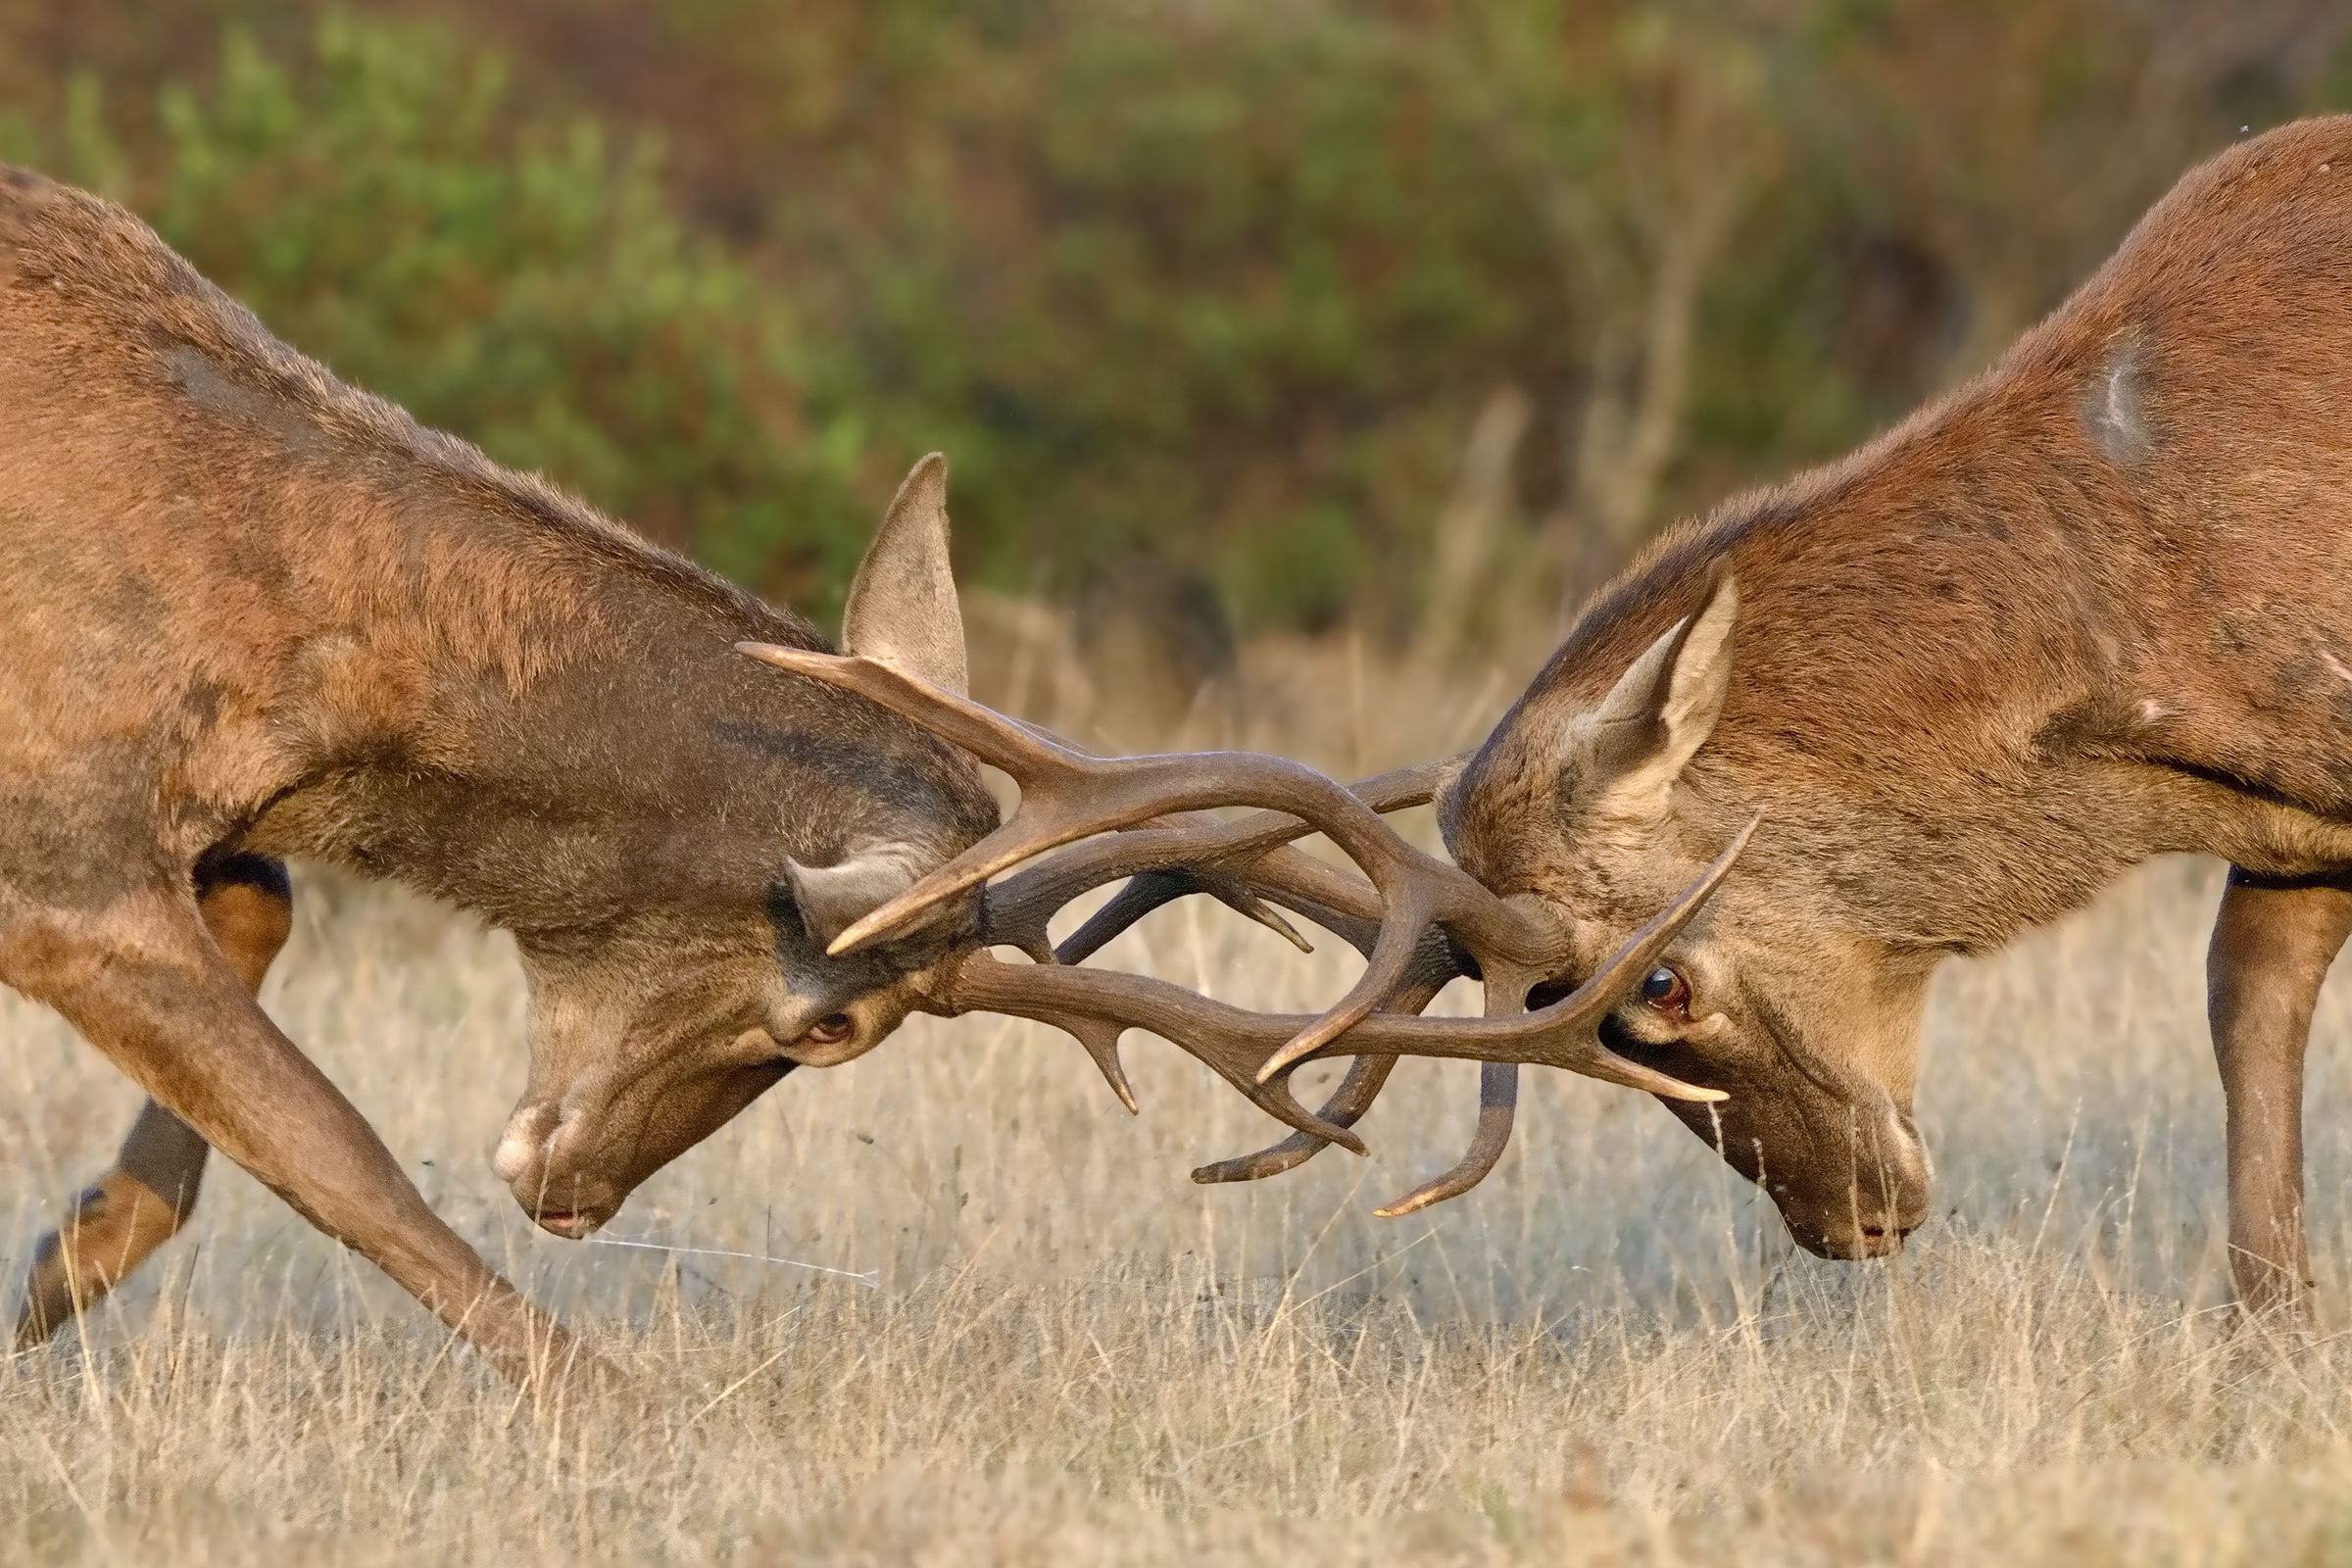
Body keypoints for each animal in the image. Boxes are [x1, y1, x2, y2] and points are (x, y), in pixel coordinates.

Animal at [1, 163, 1738, 1380]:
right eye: (832, 1026)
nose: (573, 1199)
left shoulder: (177, 828)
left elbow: (263, 936)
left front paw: (58, 1264)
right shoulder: (64, 856)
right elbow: (345, 1157)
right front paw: (616, 1415)